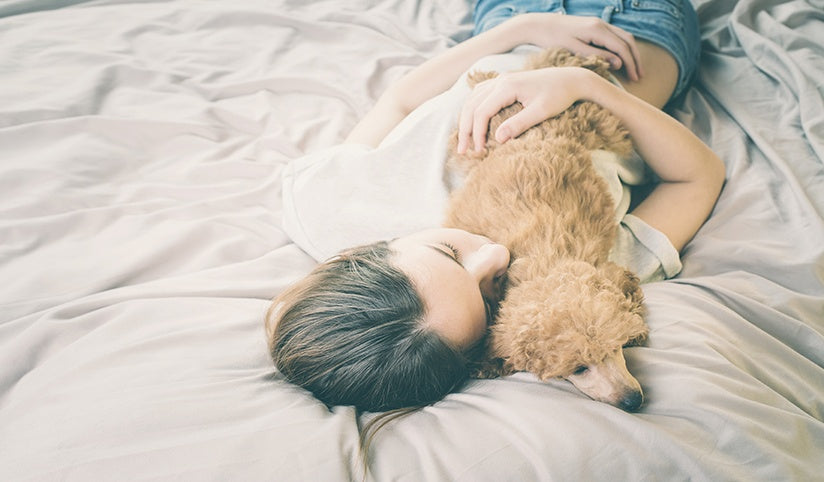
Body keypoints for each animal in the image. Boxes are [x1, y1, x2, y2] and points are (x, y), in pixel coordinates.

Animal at [444, 48, 652, 410]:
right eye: (579, 368)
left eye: (616, 346)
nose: (633, 401)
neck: (544, 258)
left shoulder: (604, 268)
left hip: (592, 118)